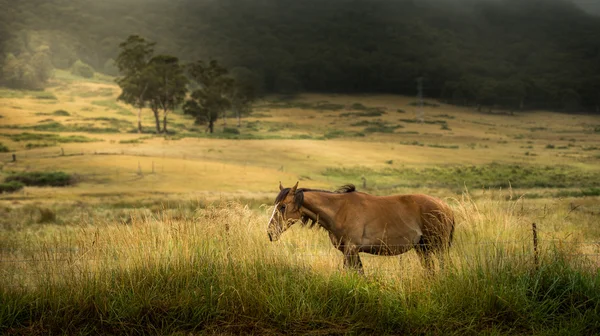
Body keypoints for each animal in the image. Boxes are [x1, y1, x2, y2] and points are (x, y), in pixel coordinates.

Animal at [268, 181, 454, 272]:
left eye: (282, 206)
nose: (270, 232)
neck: (339, 210)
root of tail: (445, 207)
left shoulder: (350, 250)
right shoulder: (351, 251)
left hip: (438, 247)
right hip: (422, 248)